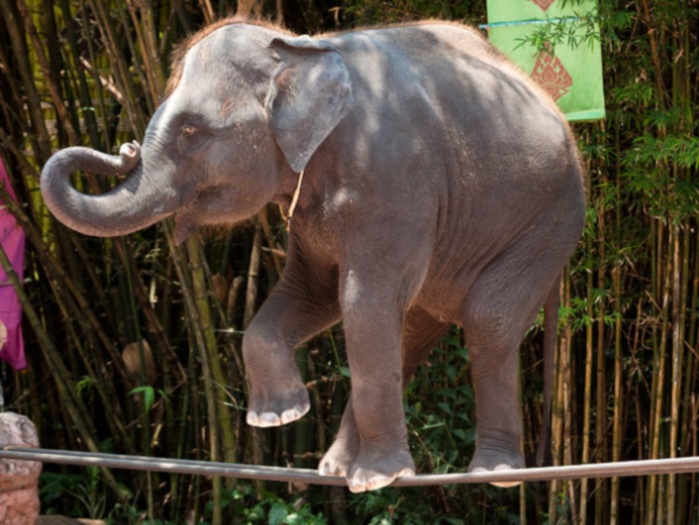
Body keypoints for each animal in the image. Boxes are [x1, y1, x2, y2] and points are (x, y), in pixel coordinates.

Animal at [40, 19, 586, 493]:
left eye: (192, 132)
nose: (124, 149)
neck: (304, 49)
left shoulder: (395, 179)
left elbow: (361, 300)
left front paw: (375, 475)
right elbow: (315, 292)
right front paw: (279, 416)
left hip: (549, 220)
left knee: (486, 319)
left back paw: (490, 475)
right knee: (413, 329)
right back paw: (335, 469)